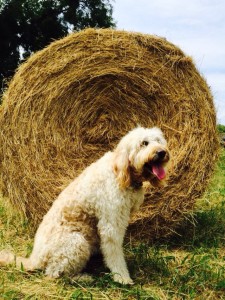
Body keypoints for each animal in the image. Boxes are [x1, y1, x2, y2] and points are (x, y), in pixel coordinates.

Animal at [0, 126, 169, 284]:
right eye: (144, 143)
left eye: (159, 141)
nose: (162, 152)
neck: (121, 171)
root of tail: (34, 259)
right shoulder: (111, 223)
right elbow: (114, 252)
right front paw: (122, 277)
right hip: (76, 242)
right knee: (54, 274)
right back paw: (82, 277)